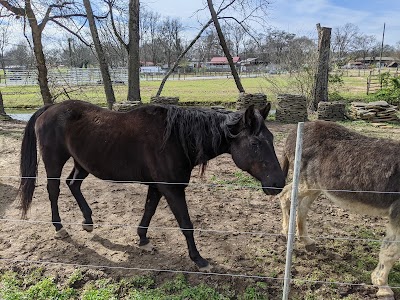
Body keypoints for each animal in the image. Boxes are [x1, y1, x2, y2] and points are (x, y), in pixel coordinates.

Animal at [19, 99, 284, 270]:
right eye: (255, 144)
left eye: (271, 139)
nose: (279, 183)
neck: (176, 138)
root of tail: (50, 108)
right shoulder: (171, 189)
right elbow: (186, 224)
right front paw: (198, 259)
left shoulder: (157, 186)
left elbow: (149, 209)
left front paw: (143, 238)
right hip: (54, 161)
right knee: (54, 190)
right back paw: (59, 227)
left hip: (82, 163)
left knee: (73, 184)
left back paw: (88, 221)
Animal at [280, 120, 400, 296]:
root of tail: (294, 131)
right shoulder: (397, 215)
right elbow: (391, 252)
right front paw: (382, 286)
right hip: (305, 182)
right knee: (285, 196)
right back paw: (285, 233)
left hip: (315, 186)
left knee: (302, 207)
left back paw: (306, 239)